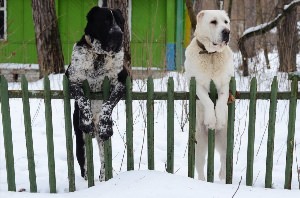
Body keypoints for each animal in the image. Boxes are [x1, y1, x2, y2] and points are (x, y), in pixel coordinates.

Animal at [65, 6, 127, 181]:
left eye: (121, 21)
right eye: (105, 20)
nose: (119, 34)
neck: (99, 56)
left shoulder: (121, 83)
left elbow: (108, 104)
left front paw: (105, 124)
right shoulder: (73, 80)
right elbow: (83, 99)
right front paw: (86, 120)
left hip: (102, 143)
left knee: (103, 163)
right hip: (80, 143)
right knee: (85, 167)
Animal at [183, 10, 234, 181]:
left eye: (226, 22)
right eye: (213, 22)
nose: (227, 32)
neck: (211, 55)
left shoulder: (226, 83)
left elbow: (221, 100)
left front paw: (218, 119)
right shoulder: (197, 85)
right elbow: (208, 101)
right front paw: (211, 120)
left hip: (225, 139)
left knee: (225, 158)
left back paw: (222, 175)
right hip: (199, 143)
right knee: (200, 165)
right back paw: (202, 181)